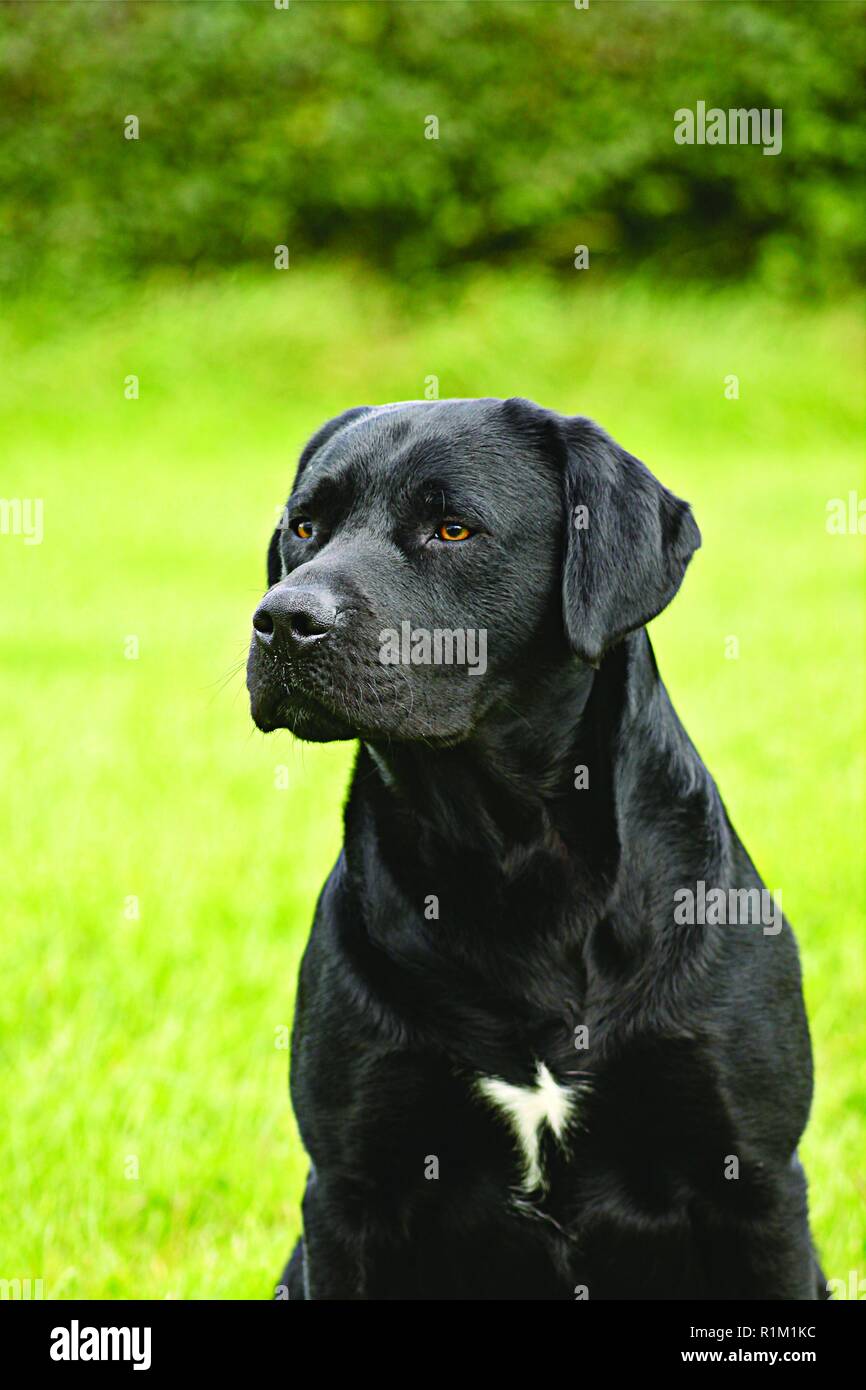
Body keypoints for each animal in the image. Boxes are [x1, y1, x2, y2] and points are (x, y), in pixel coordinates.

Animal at [246, 397, 828, 1295]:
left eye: (452, 529)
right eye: (305, 525)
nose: (282, 618)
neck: (511, 856)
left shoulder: (755, 1181)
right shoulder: (350, 1191)